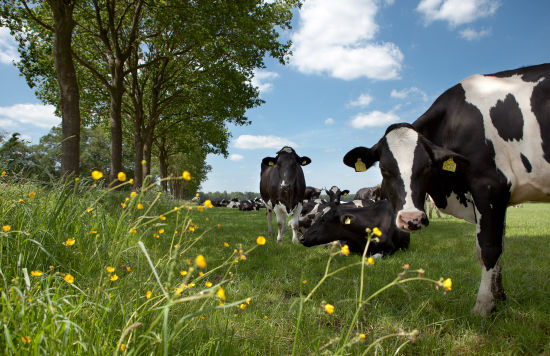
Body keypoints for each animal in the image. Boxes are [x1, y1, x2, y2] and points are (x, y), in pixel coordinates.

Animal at [344, 62, 550, 316]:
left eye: (427, 166)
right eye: (384, 168)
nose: (411, 220)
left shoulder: (489, 186)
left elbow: (489, 248)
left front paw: (483, 306)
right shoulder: (498, 198)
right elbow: (498, 247)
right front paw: (499, 298)